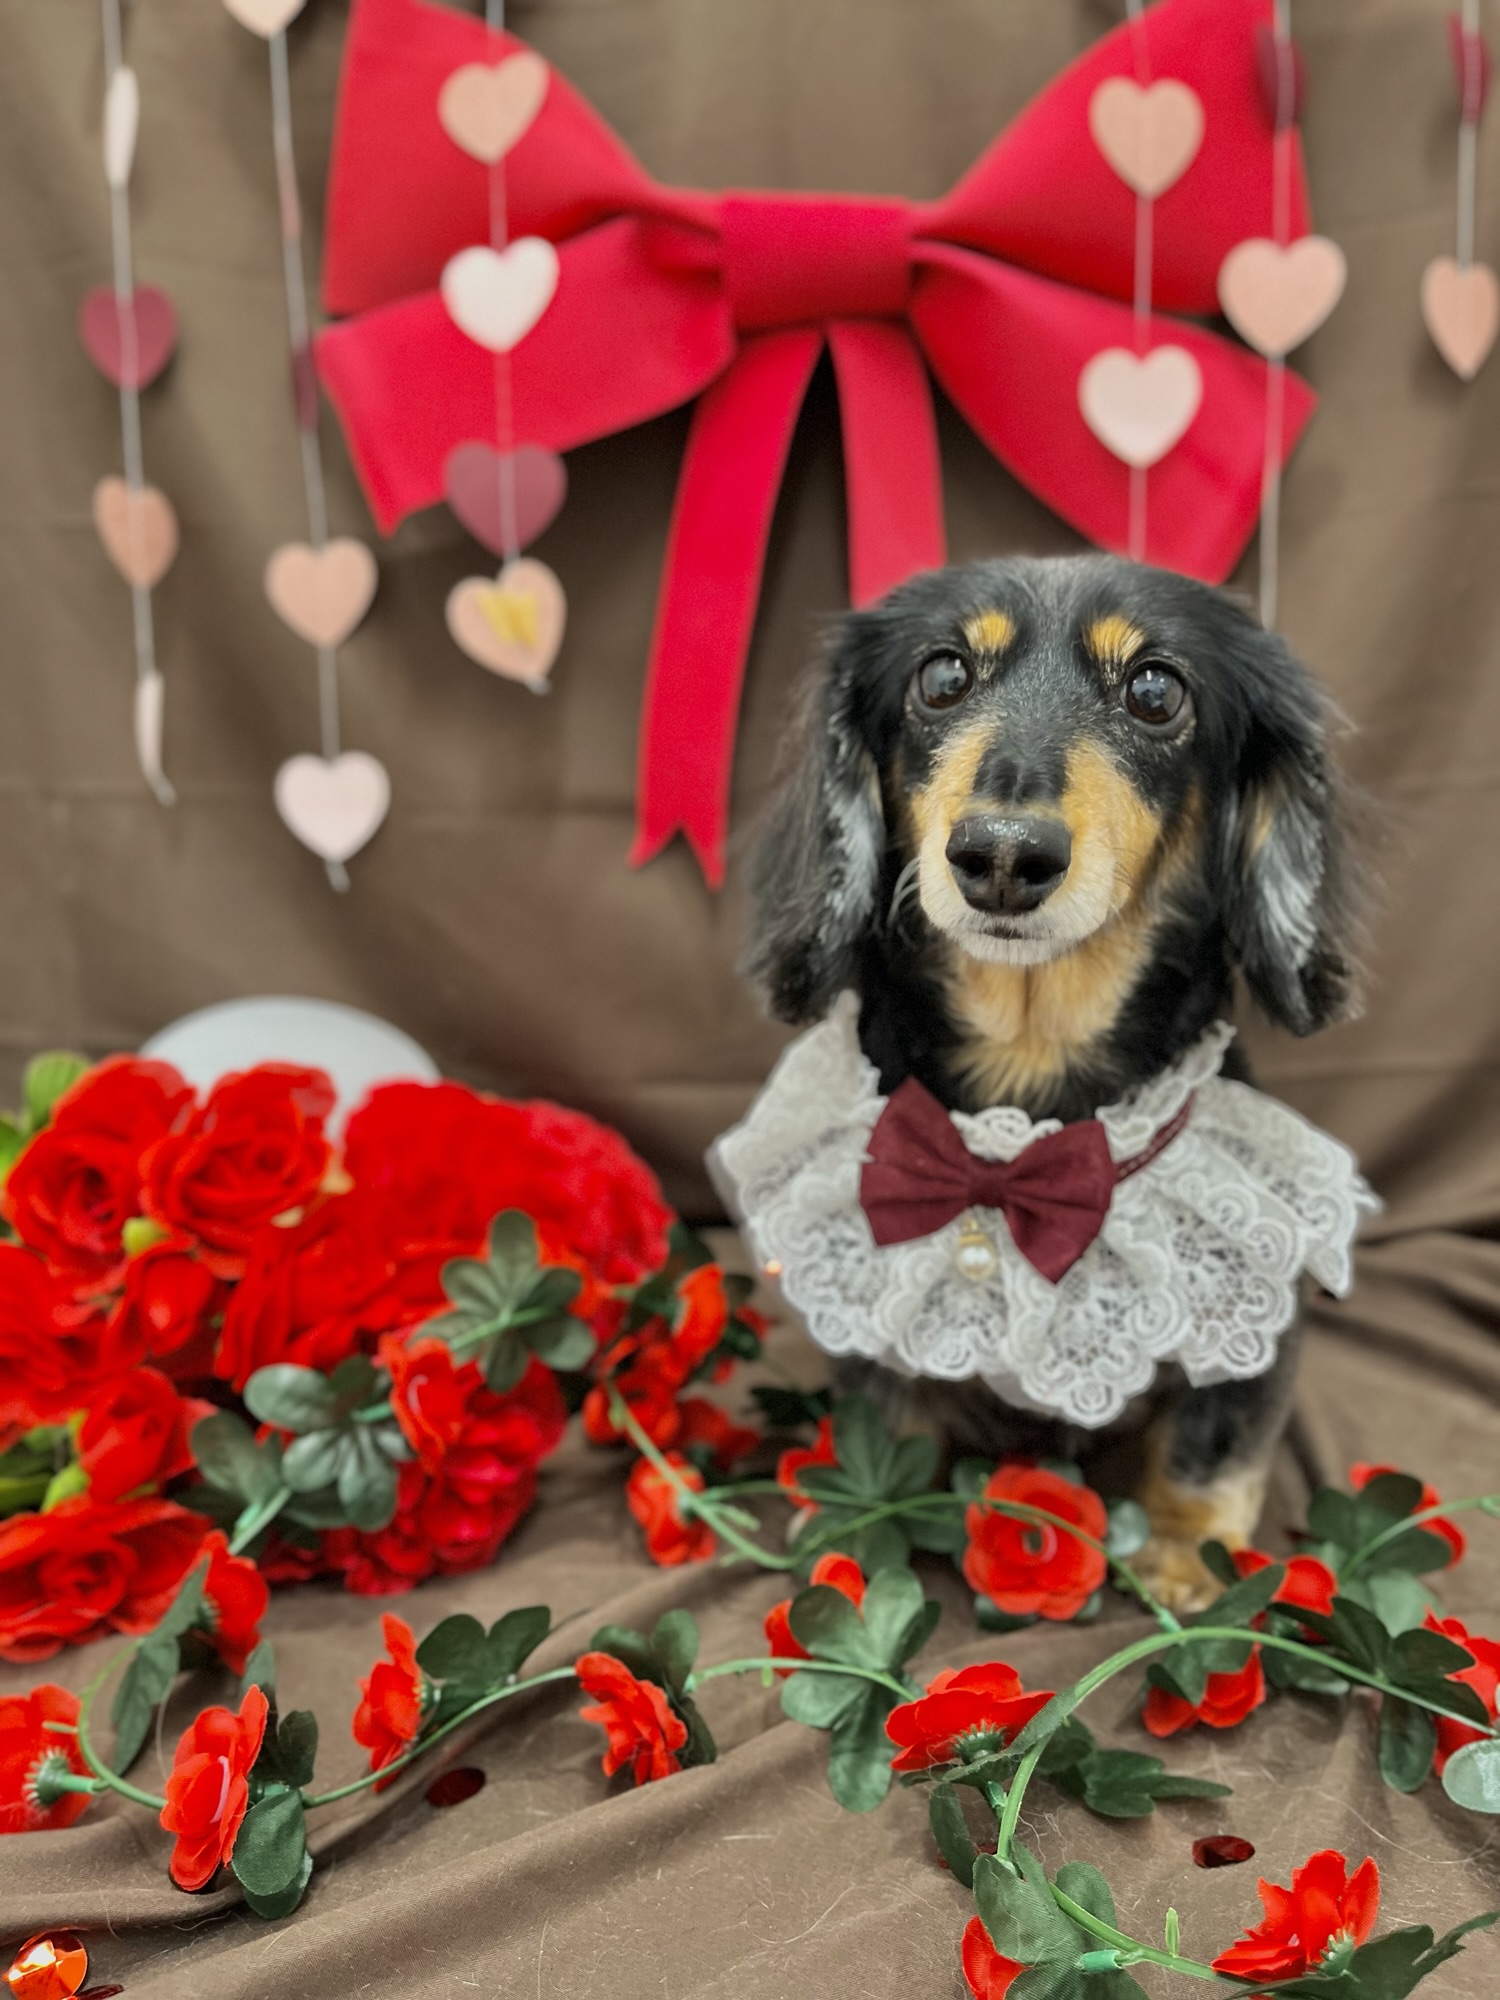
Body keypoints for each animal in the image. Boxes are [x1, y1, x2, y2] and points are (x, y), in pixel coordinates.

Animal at [739, 553, 1363, 1612]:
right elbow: (883, 1427)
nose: (1000, 854)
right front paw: (858, 1518)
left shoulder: (1255, 1324)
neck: (1027, 1106)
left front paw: (1184, 1557)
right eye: (943, 676)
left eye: (1155, 692)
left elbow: (1212, 1446)